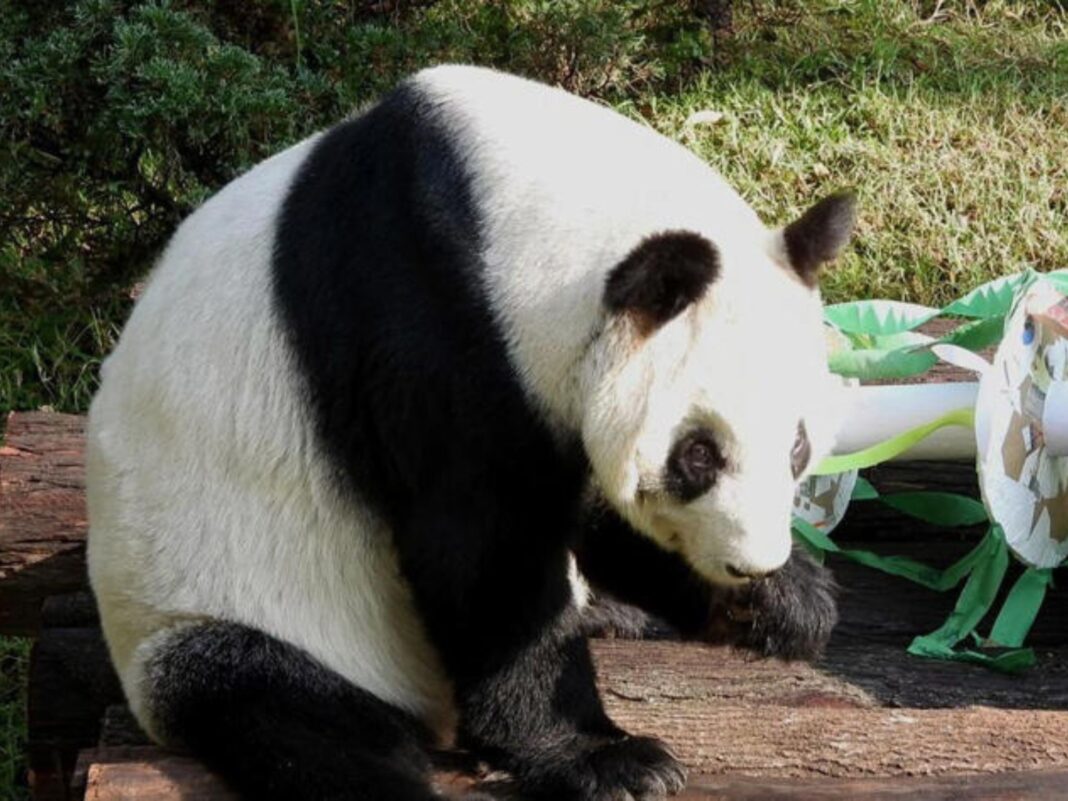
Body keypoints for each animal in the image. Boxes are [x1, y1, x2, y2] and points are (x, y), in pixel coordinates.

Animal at [86, 65, 850, 801]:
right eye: (698, 454)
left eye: (797, 446)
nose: (751, 562)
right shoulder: (428, 323)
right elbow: (480, 550)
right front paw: (607, 759)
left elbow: (584, 504)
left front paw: (786, 604)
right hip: (220, 604)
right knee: (299, 716)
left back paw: (615, 610)